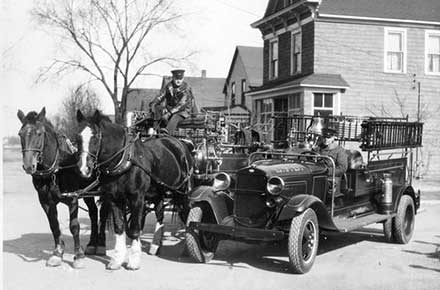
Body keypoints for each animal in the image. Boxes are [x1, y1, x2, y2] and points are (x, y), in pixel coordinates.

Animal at [17, 108, 107, 270]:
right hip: (87, 192)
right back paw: (92, 244)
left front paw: (78, 256)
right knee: (93, 213)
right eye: (20, 134)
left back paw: (101, 245)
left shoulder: (72, 199)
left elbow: (74, 226)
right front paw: (57, 253)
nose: (28, 166)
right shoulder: (46, 202)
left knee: (103, 213)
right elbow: (54, 225)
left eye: (39, 133)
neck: (57, 168)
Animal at [76, 110, 193, 270]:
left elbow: (135, 228)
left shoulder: (137, 198)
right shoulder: (114, 198)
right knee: (160, 213)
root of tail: (179, 143)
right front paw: (117, 259)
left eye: (95, 137)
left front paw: (134, 261)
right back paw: (155, 245)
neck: (124, 161)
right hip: (158, 191)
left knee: (185, 211)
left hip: (181, 190)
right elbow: (120, 227)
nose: (84, 169)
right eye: (78, 138)